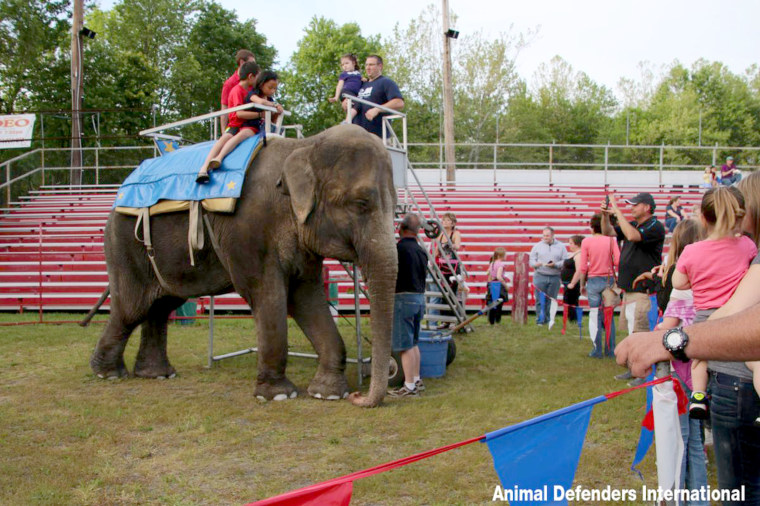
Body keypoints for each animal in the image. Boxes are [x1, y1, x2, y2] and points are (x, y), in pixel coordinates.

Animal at [89, 125, 398, 408]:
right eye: (361, 203)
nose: (359, 397)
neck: (303, 145)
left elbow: (305, 296)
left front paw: (329, 393)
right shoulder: (248, 229)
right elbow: (267, 294)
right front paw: (279, 395)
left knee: (162, 304)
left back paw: (157, 375)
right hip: (125, 243)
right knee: (133, 307)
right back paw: (109, 374)